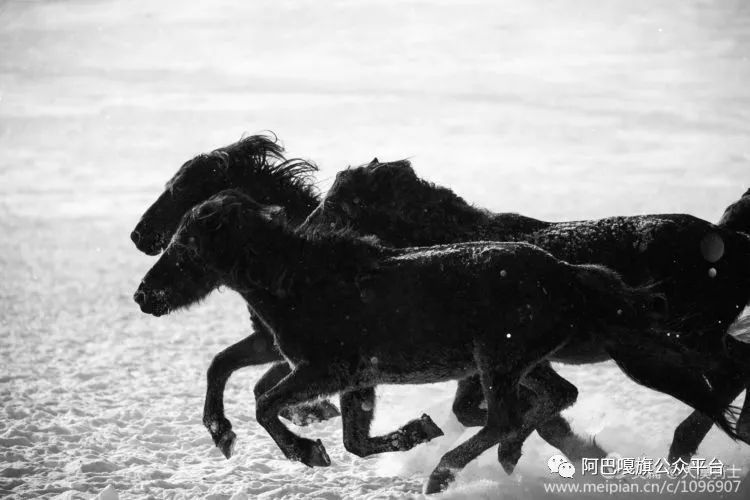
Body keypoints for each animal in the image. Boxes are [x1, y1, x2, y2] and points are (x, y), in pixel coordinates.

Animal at [134, 189, 668, 494]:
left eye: (185, 246)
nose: (144, 296)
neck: (300, 284)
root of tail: (569, 274)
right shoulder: (355, 379)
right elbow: (354, 440)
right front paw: (417, 430)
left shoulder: (323, 370)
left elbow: (266, 404)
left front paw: (305, 452)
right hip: (523, 363)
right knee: (552, 398)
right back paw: (515, 457)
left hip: (498, 361)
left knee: (504, 417)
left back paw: (444, 474)